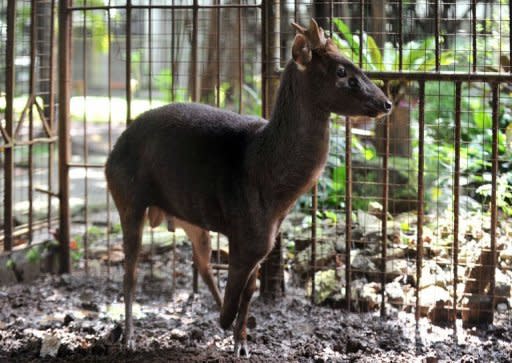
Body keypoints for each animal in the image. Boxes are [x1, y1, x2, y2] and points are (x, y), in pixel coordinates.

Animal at [106, 18, 390, 356]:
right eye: (341, 71)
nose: (386, 102)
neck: (270, 180)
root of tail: (111, 154)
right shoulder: (244, 233)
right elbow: (235, 297)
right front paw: (229, 328)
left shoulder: (262, 241)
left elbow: (248, 292)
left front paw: (241, 341)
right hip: (128, 199)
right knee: (131, 272)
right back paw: (128, 337)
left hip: (191, 218)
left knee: (201, 263)